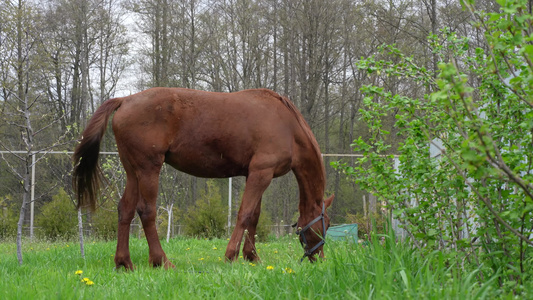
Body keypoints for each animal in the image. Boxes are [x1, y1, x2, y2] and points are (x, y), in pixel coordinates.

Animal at [72, 86, 332, 270]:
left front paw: (252, 257)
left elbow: (254, 217)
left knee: (125, 209)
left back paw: (124, 262)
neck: (287, 126)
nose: (320, 258)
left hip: (133, 171)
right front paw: (231, 256)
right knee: (146, 211)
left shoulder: (256, 174)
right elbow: (245, 214)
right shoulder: (261, 173)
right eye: (326, 225)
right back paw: (161, 261)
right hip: (148, 169)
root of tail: (125, 100)